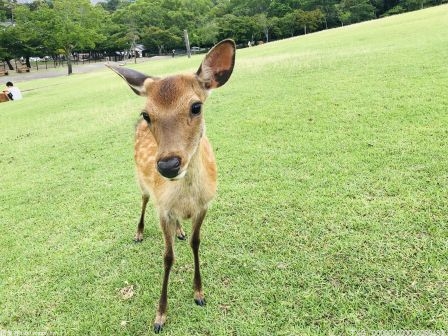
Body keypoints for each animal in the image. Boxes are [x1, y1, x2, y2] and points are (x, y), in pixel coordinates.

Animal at [107, 40, 236, 334]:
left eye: (196, 106)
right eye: (146, 114)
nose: (167, 165)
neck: (186, 198)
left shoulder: (205, 205)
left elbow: (196, 243)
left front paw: (199, 293)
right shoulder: (162, 208)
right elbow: (168, 257)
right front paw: (160, 316)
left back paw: (178, 231)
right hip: (142, 183)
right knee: (143, 201)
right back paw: (139, 233)